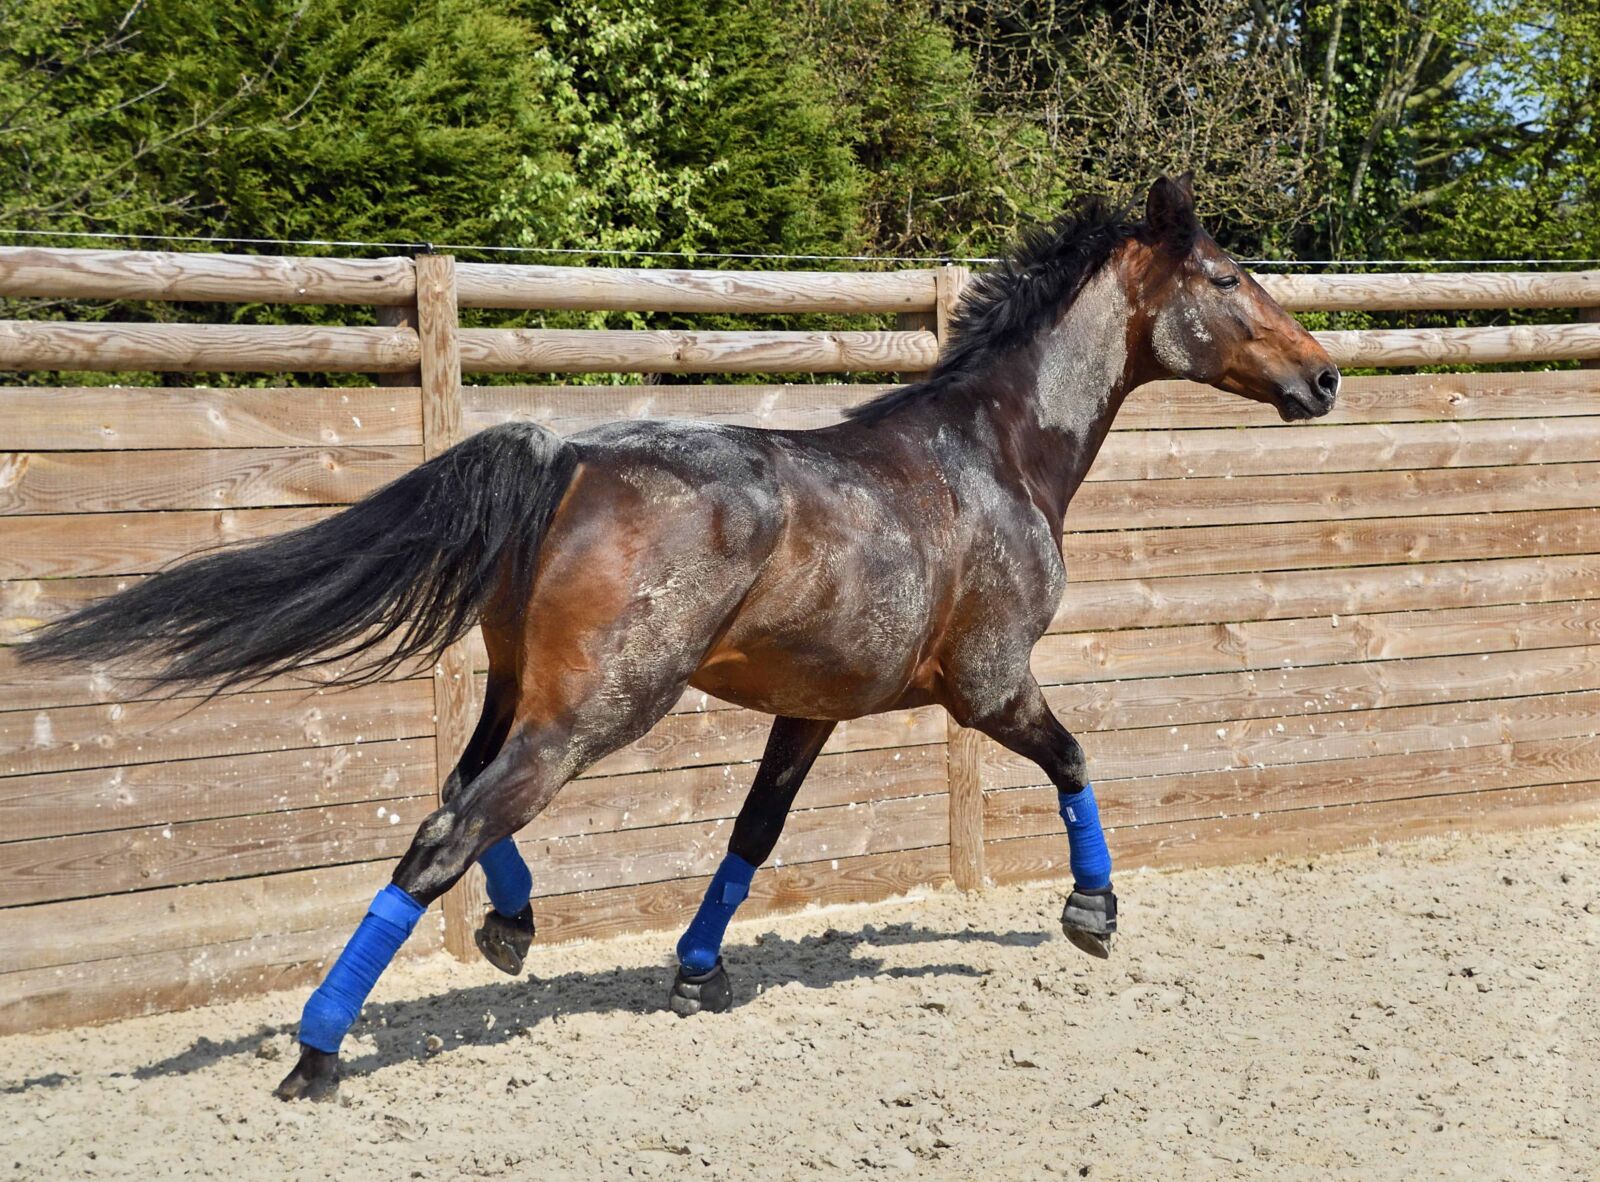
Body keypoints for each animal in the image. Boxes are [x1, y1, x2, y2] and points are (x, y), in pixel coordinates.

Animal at [22, 174, 1338, 1100]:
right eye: (1228, 276)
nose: (1322, 380)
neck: (995, 453)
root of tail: (562, 451)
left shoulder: (812, 708)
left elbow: (753, 835)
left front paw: (698, 971)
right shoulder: (988, 684)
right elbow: (1073, 758)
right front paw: (1091, 916)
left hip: (530, 691)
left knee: (459, 799)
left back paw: (508, 928)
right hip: (604, 706)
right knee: (445, 833)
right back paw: (316, 1057)